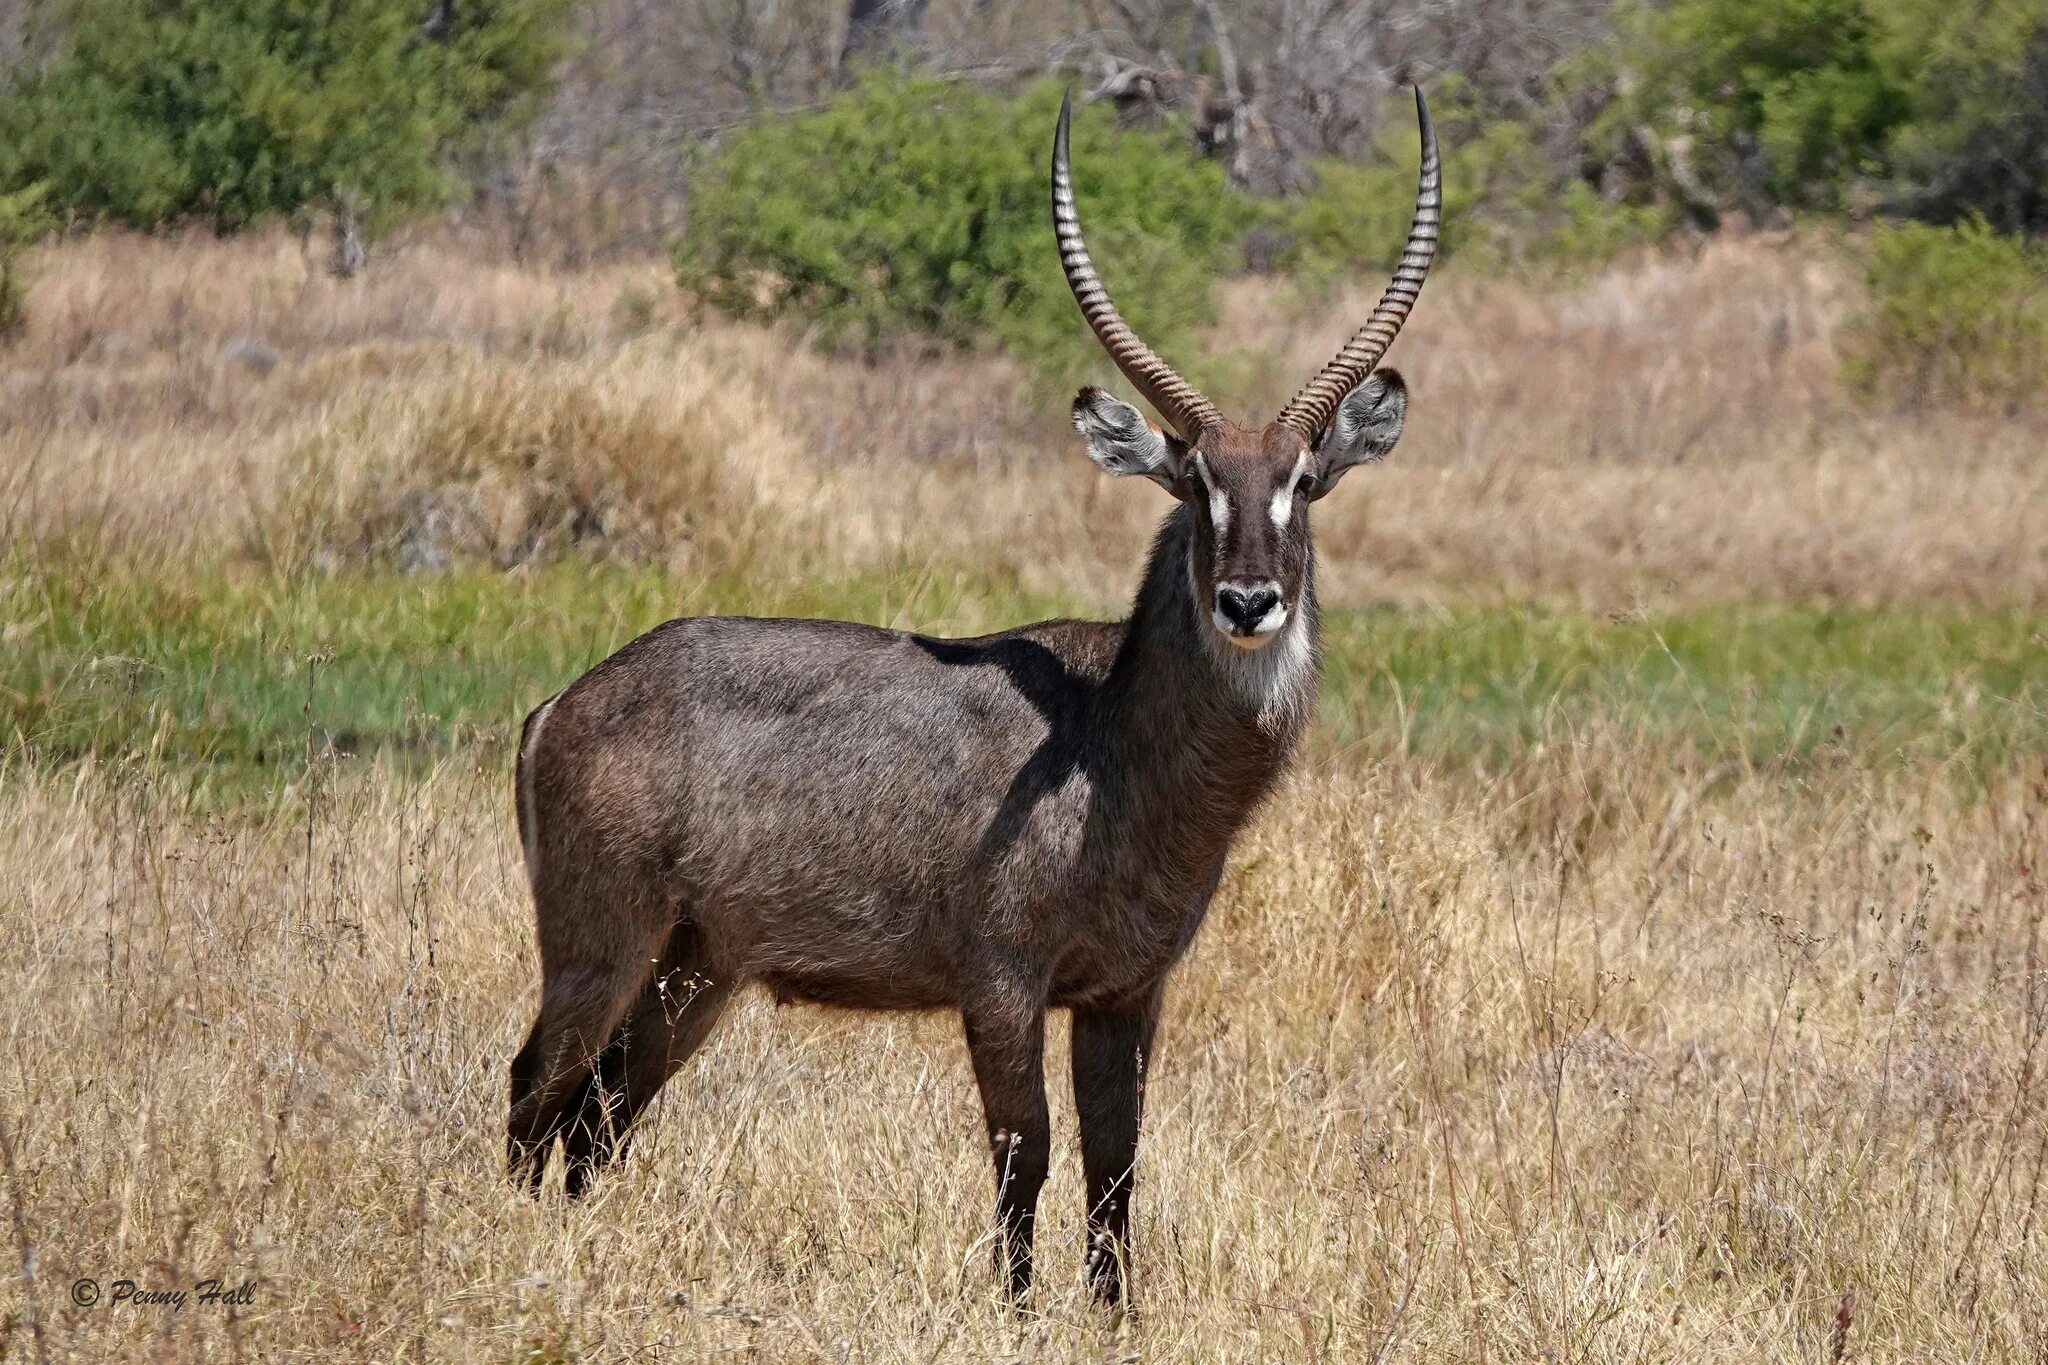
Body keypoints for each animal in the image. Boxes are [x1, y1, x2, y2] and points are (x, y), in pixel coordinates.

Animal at [509, 85, 1441, 1301]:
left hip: (694, 967)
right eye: (1194, 481)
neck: (1113, 745)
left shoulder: (1126, 990)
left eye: (1303, 481)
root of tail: (563, 703)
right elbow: (1023, 1149)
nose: (1247, 601)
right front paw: (1015, 1311)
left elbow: (1116, 1163)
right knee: (536, 1091)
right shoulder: (1000, 977)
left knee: (599, 1114)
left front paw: (1113, 1316)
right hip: (601, 939)